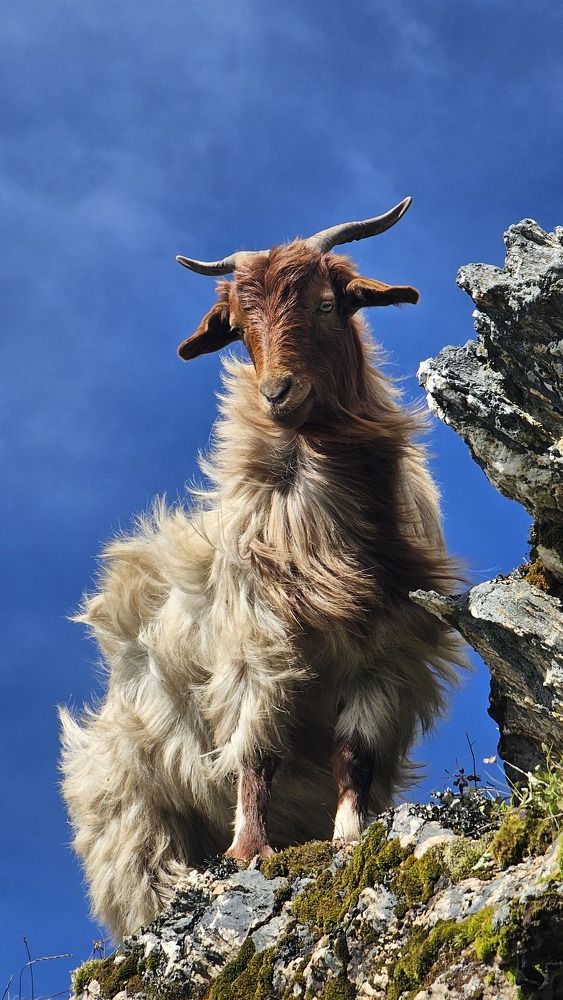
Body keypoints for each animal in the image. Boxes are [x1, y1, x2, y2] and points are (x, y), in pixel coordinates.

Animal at [60, 197, 463, 941]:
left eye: (329, 304)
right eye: (241, 329)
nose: (278, 393)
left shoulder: (386, 657)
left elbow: (352, 754)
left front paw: (349, 835)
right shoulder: (255, 648)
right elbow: (256, 755)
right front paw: (249, 851)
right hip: (131, 820)